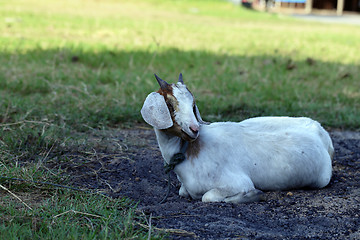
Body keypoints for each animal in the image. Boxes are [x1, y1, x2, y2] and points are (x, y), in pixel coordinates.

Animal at [141, 74, 334, 203]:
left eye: (193, 104)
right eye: (169, 104)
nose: (194, 129)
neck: (189, 151)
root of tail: (320, 131)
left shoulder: (237, 182)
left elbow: (207, 197)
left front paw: (251, 195)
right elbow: (183, 192)